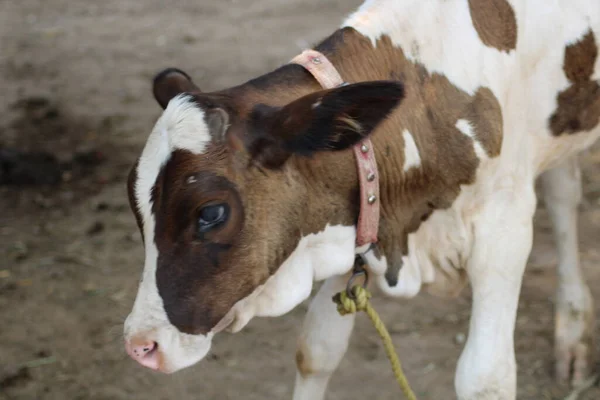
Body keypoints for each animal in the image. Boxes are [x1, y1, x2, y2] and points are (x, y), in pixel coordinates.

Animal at [123, 1, 600, 398]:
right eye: (136, 204)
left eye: (211, 212)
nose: (140, 345)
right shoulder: (352, 219)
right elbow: (316, 349)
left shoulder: (502, 231)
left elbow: (485, 378)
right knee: (563, 188)